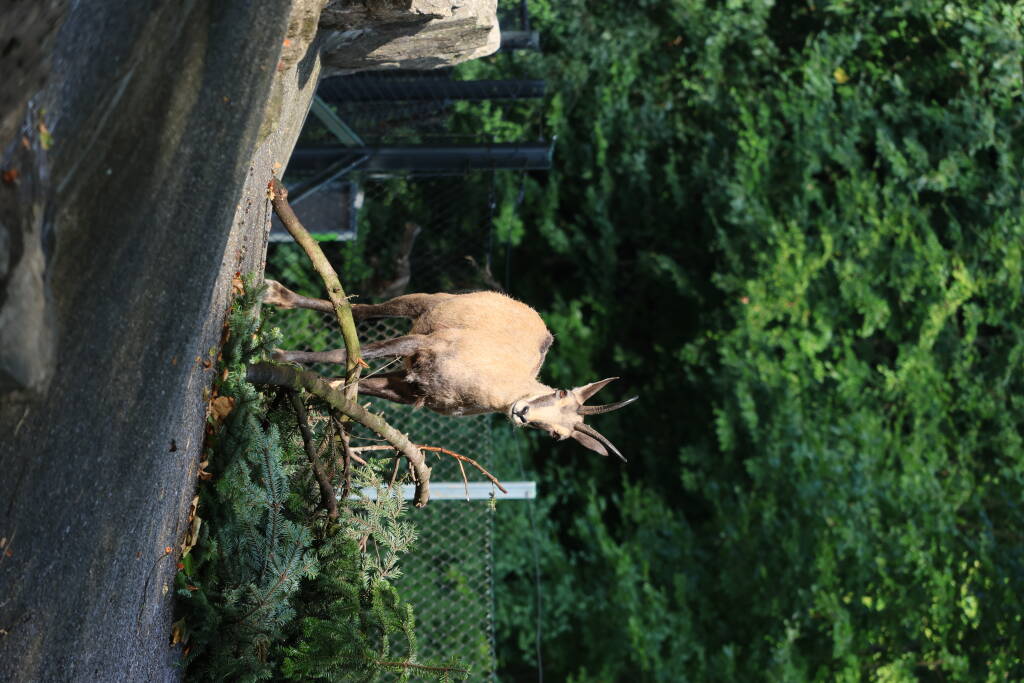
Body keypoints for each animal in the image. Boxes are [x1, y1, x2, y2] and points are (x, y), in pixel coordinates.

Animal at [263, 280, 637, 460]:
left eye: (558, 435)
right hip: (427, 303)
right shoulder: (425, 344)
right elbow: (351, 351)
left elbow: (345, 382)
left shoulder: (409, 390)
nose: (522, 413)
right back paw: (276, 294)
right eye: (560, 392)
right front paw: (279, 355)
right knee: (362, 310)